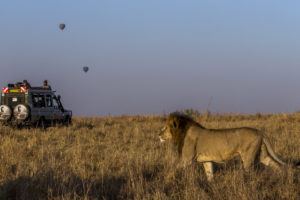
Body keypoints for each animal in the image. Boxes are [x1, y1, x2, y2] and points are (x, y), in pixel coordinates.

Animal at [158, 112, 298, 181]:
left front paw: (165, 179)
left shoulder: (186, 160)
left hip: (248, 156)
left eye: (165, 128)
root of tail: (259, 131)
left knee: (250, 171)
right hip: (262, 154)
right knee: (277, 165)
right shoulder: (207, 160)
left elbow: (173, 169)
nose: (158, 134)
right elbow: (210, 174)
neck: (181, 132)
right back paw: (284, 177)